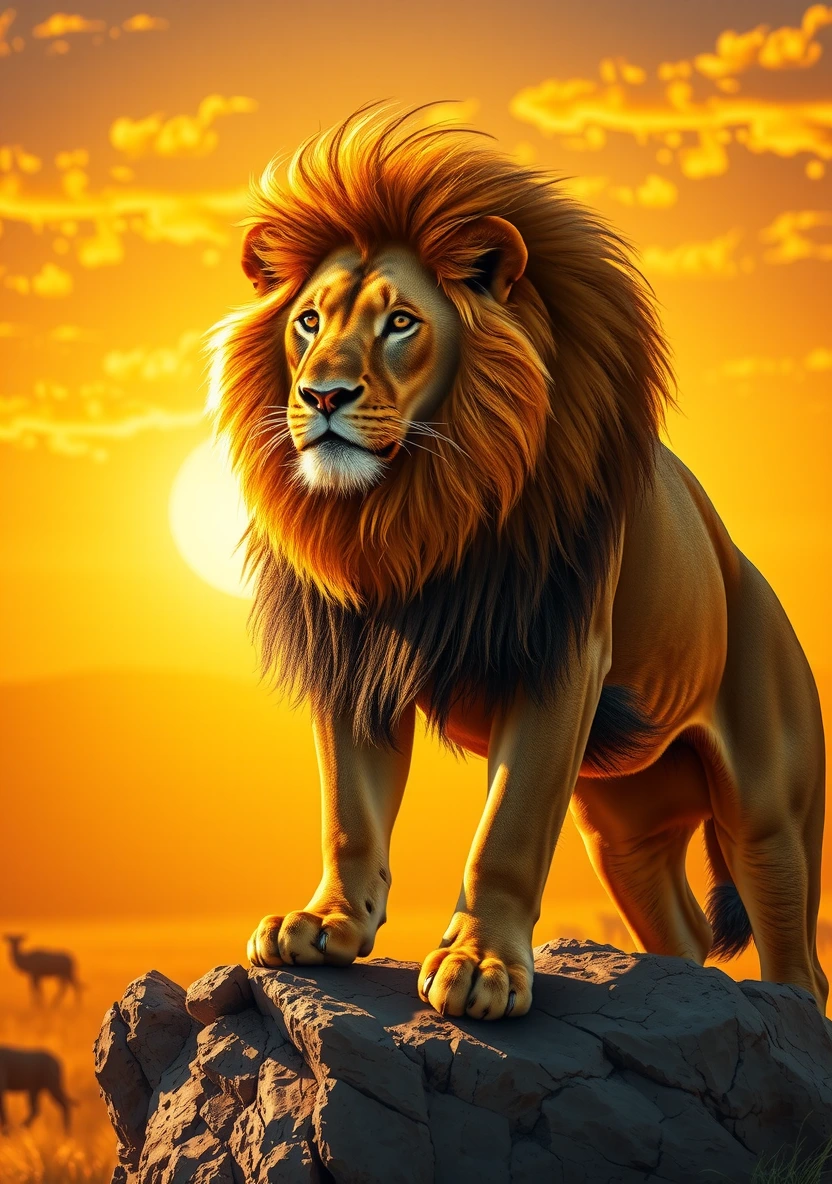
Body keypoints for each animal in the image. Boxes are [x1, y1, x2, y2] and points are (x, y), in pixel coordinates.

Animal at [208, 105, 827, 1020]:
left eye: (401, 323)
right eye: (309, 321)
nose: (321, 397)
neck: (414, 507)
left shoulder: (562, 656)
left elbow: (507, 830)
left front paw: (481, 965)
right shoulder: (355, 657)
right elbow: (349, 811)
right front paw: (328, 924)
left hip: (768, 809)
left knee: (799, 962)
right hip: (624, 826)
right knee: (680, 933)